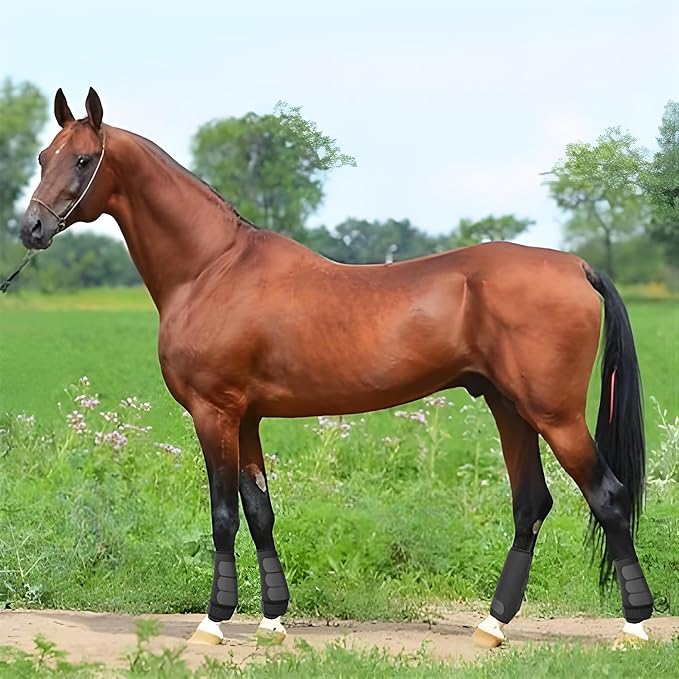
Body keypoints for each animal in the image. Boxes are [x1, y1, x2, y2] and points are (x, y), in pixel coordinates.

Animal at [20, 88, 653, 647]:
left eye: (82, 159)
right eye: (43, 156)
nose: (31, 229)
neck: (212, 268)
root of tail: (576, 266)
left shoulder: (213, 413)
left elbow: (224, 515)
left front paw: (213, 622)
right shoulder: (247, 419)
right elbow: (259, 511)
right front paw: (272, 620)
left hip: (555, 415)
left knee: (608, 497)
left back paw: (634, 626)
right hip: (510, 409)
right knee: (531, 505)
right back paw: (492, 626)